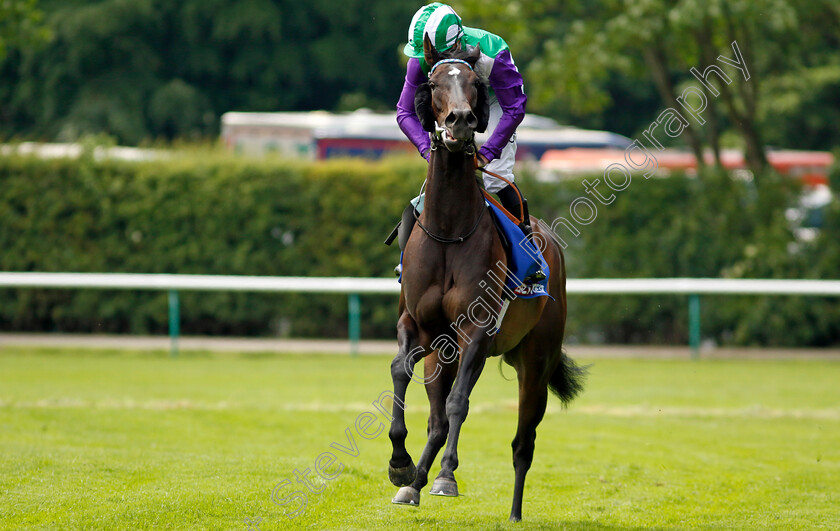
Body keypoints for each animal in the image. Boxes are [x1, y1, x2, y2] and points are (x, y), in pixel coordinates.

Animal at [388, 36, 584, 524]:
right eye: (435, 81)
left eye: (475, 84)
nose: (458, 121)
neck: (449, 228)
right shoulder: (418, 326)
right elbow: (402, 372)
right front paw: (401, 466)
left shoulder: (476, 329)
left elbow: (458, 404)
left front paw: (442, 476)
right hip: (445, 356)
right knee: (437, 418)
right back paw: (417, 480)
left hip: (535, 363)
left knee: (522, 442)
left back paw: (511, 511)